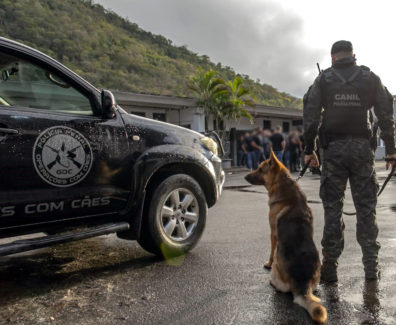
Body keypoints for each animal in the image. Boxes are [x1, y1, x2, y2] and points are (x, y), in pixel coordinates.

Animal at [246, 151, 326, 322]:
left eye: (260, 169)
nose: (245, 176)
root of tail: (302, 283)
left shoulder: (272, 232)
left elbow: (271, 251)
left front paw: (267, 263)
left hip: (277, 269)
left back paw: (271, 282)